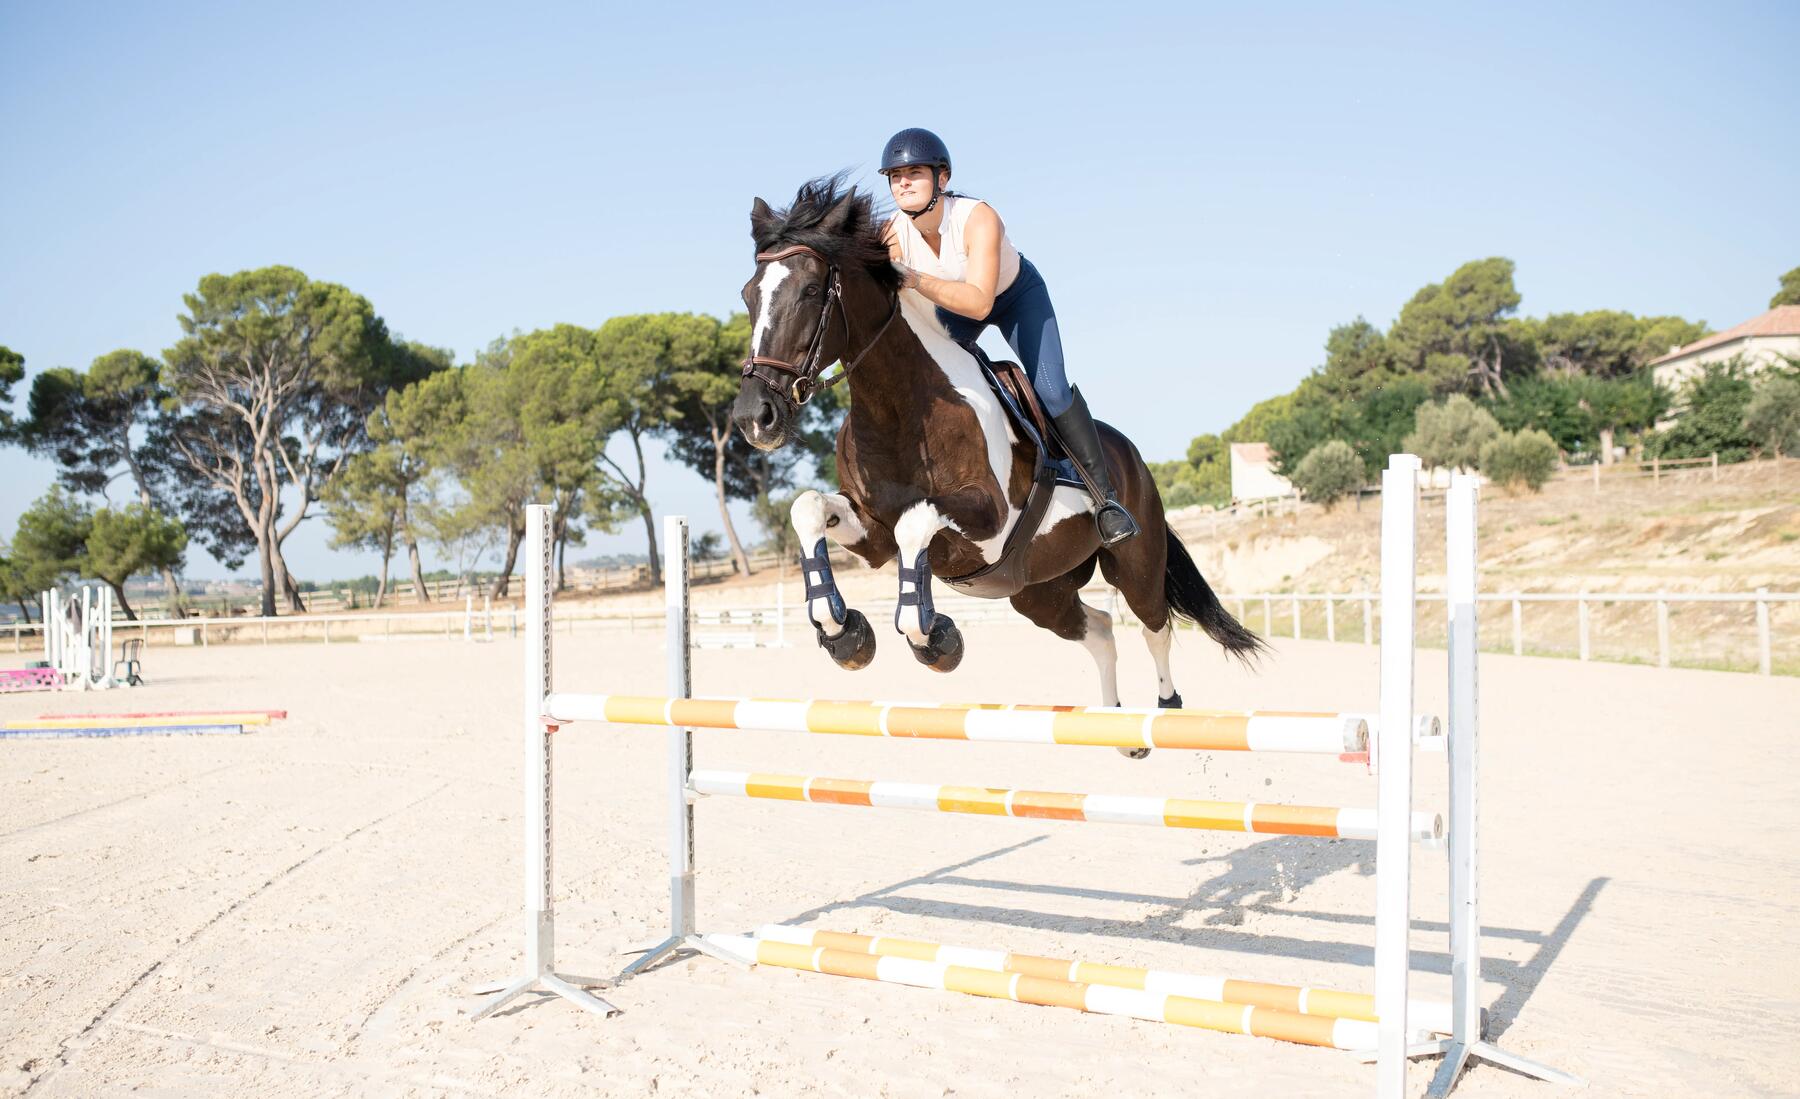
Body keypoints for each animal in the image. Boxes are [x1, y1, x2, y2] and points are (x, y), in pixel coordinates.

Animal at [730, 180, 1267, 748]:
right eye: (748, 295)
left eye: (811, 291)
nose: (753, 417)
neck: (901, 406)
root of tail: (1132, 456)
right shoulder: (873, 533)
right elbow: (809, 509)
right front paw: (844, 632)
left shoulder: (987, 521)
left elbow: (916, 524)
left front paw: (933, 639)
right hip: (1039, 592)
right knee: (1100, 629)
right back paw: (1117, 729)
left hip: (1135, 562)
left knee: (1154, 625)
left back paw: (1164, 709)